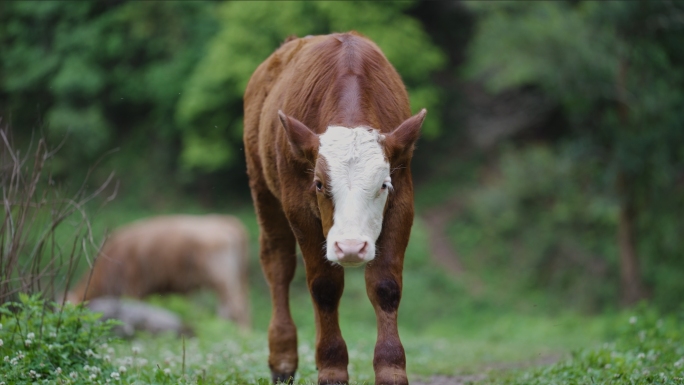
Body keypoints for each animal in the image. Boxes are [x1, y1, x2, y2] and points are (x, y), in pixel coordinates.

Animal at [243, 33, 424, 384]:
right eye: (318, 184)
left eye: (384, 184)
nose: (351, 246)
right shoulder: (298, 206)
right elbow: (324, 287)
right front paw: (332, 368)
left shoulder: (403, 201)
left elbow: (385, 285)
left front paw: (391, 368)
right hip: (262, 188)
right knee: (279, 264)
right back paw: (283, 359)